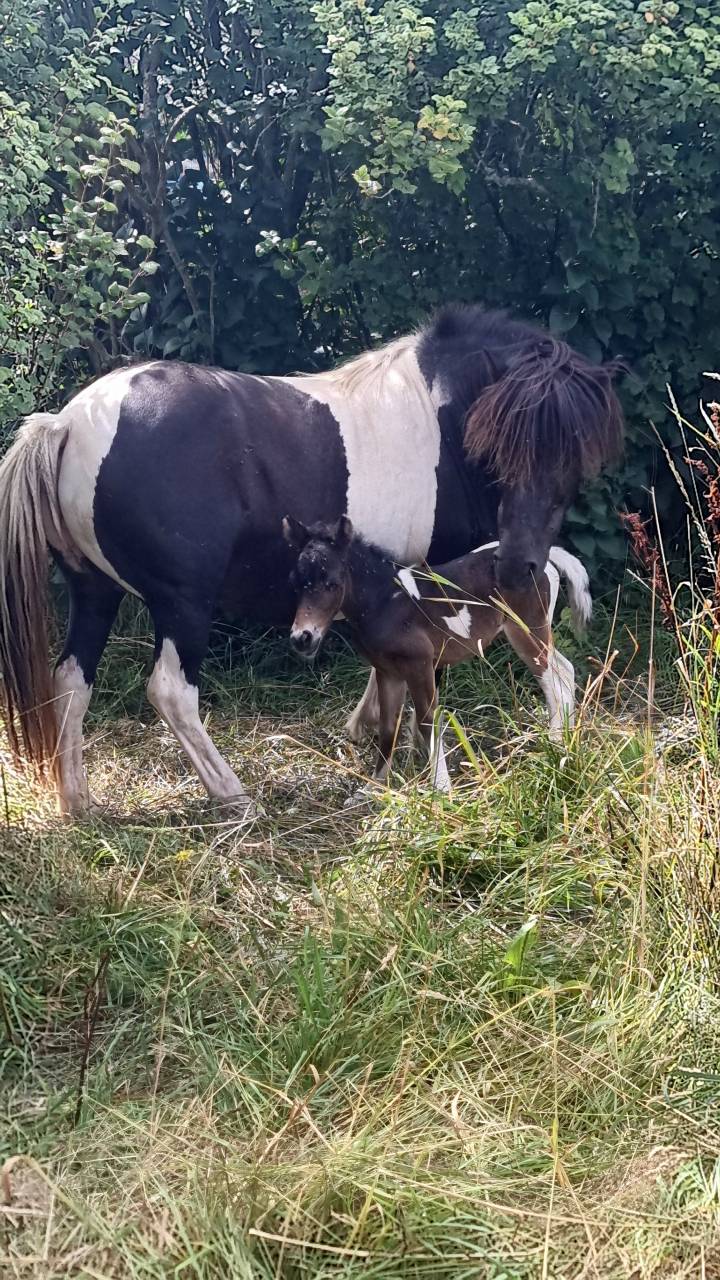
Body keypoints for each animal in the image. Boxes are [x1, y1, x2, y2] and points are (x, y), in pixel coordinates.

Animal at [284, 516, 592, 789]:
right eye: (295, 582)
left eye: (333, 583)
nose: (302, 638)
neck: (386, 603)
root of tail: (547, 559)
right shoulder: (388, 672)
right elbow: (388, 726)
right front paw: (373, 787)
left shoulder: (419, 665)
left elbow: (427, 720)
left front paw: (441, 790)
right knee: (564, 670)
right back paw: (566, 738)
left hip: (527, 629)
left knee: (551, 678)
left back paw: (556, 743)